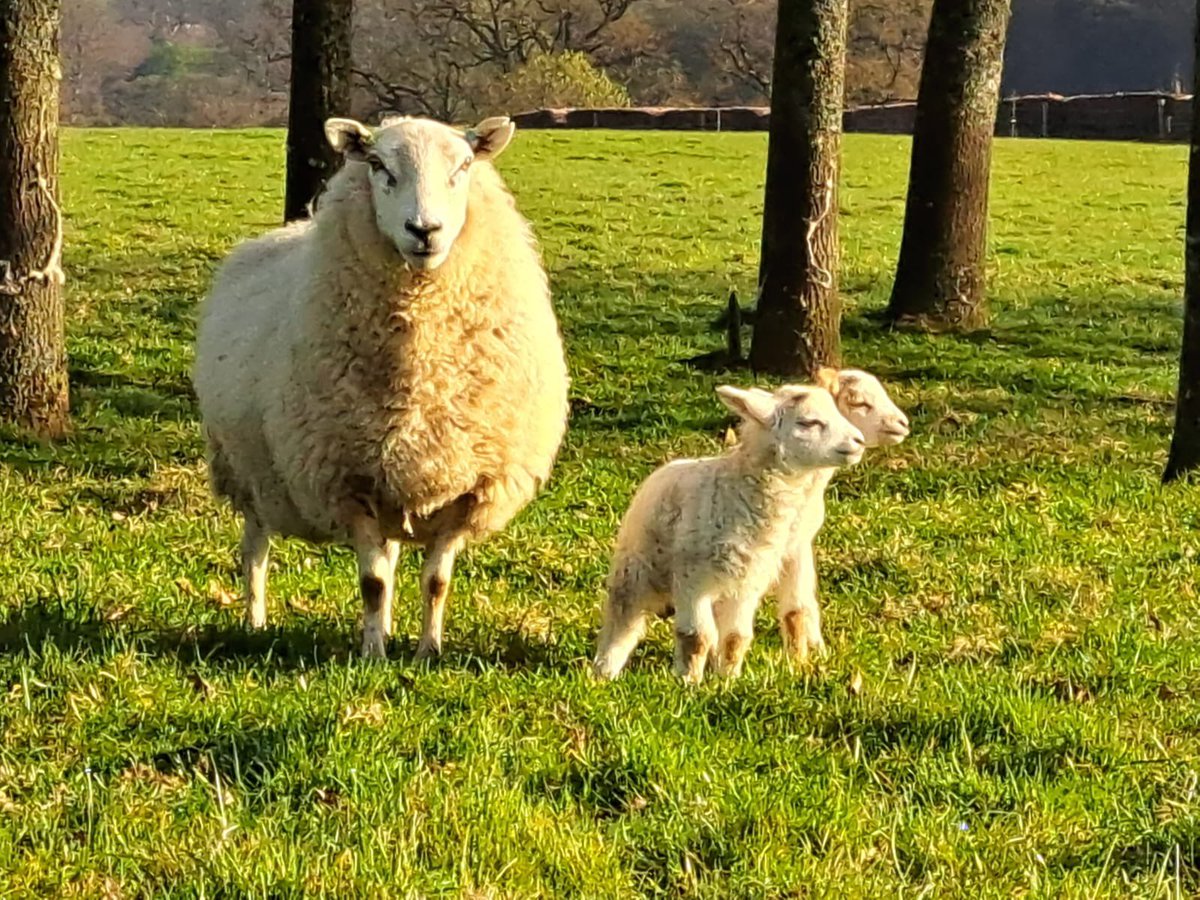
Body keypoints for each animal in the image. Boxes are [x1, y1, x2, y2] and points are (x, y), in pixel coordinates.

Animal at [192, 114, 569, 660]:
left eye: (464, 166)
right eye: (377, 166)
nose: (424, 230)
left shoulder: (467, 487)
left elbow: (435, 582)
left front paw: (428, 651)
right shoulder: (348, 480)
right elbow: (370, 584)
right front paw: (372, 655)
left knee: (386, 558)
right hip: (248, 473)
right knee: (254, 552)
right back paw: (255, 620)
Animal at [592, 384, 866, 683]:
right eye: (808, 422)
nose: (859, 441)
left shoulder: (747, 581)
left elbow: (736, 637)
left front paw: (728, 680)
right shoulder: (691, 578)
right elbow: (695, 637)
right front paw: (688, 683)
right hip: (636, 568)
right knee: (622, 619)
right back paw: (603, 672)